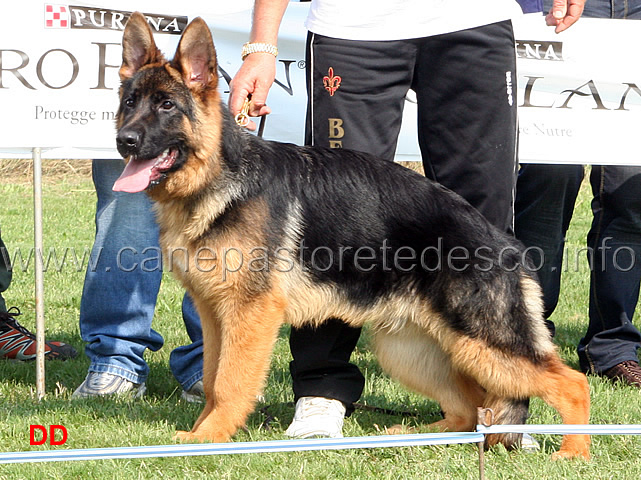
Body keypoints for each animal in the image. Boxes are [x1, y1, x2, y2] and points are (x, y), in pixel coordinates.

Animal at [114, 13, 592, 460]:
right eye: (130, 101)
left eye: (167, 105)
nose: (124, 141)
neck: (217, 176)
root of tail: (506, 244)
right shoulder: (215, 315)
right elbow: (213, 379)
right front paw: (200, 433)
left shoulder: (249, 315)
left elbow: (230, 382)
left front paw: (210, 438)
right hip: (410, 349)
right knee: (469, 407)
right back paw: (416, 435)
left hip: (484, 344)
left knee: (571, 383)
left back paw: (574, 450)